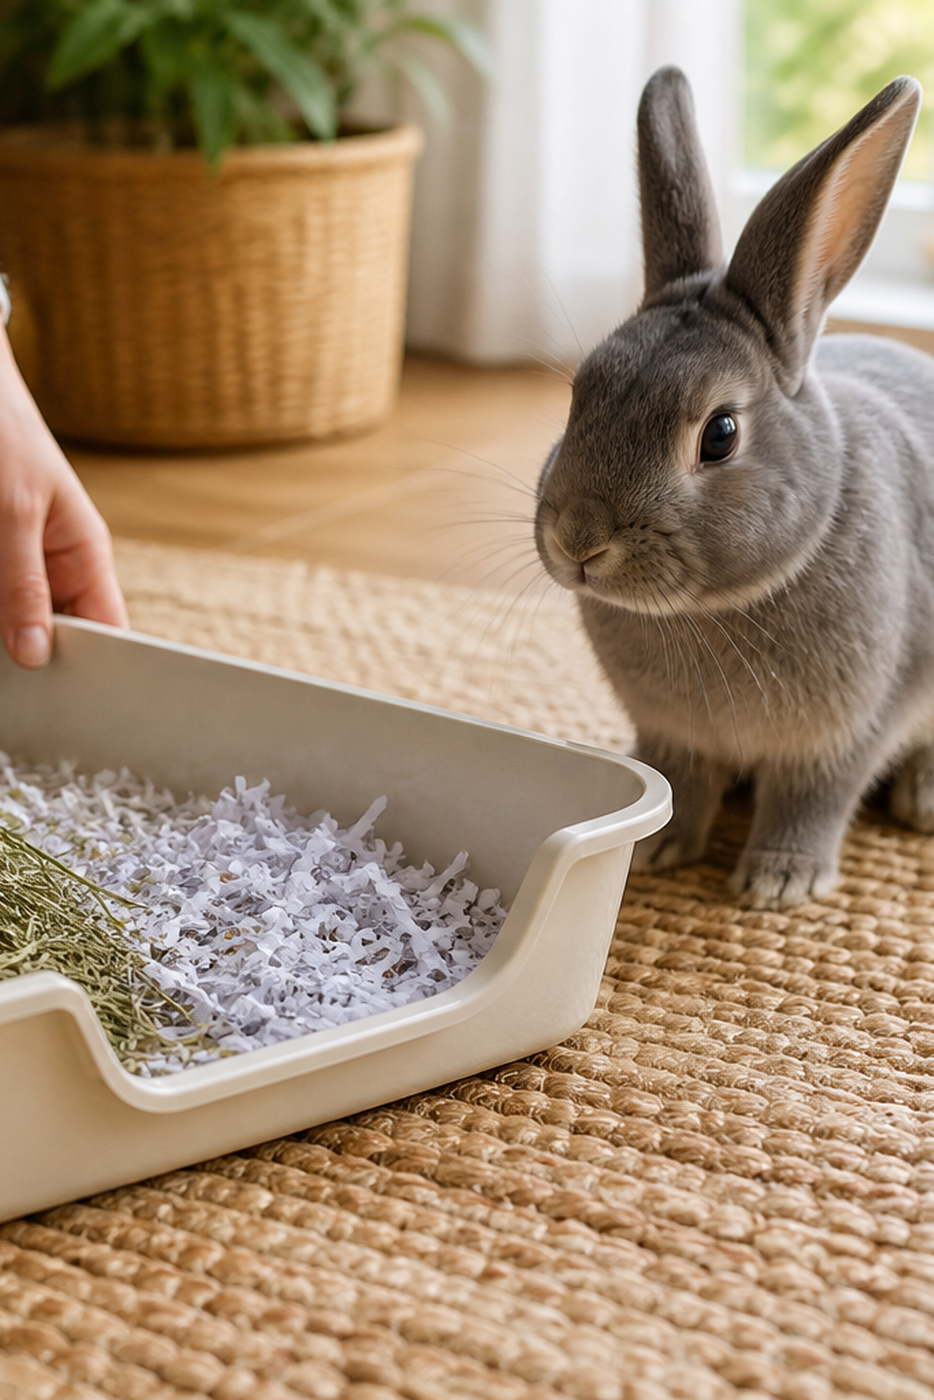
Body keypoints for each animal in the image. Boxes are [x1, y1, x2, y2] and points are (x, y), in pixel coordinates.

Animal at [535, 65, 934, 909]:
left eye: (719, 435)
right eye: (581, 395)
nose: (578, 540)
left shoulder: (847, 733)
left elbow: (813, 800)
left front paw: (780, 883)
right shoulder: (672, 736)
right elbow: (684, 786)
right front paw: (658, 852)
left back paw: (922, 802)